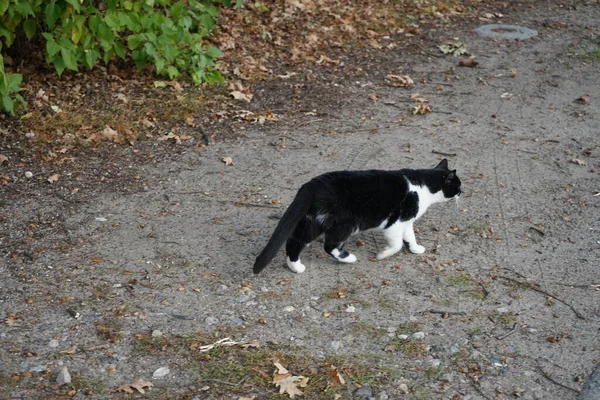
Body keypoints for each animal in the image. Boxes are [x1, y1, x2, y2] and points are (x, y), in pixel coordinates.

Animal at [252, 158, 460, 274]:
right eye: (458, 185)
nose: (462, 193)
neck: (423, 184)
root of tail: (311, 185)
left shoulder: (406, 221)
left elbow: (410, 236)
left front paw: (416, 248)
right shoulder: (396, 223)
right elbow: (397, 244)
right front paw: (383, 255)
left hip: (314, 221)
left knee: (295, 241)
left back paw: (295, 267)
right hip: (345, 223)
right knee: (330, 245)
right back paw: (349, 258)